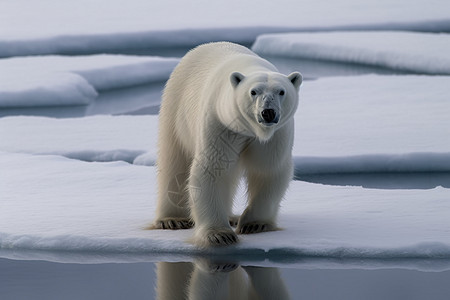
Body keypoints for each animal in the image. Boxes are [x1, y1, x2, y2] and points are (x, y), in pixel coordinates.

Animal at [151, 42, 302, 247]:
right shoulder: (220, 123)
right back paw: (172, 219)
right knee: (173, 160)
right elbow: (212, 168)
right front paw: (220, 235)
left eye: (281, 91)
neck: (250, 130)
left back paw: (231, 217)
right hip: (175, 106)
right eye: (253, 92)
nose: (268, 112)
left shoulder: (275, 135)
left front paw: (254, 224)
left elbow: (268, 169)